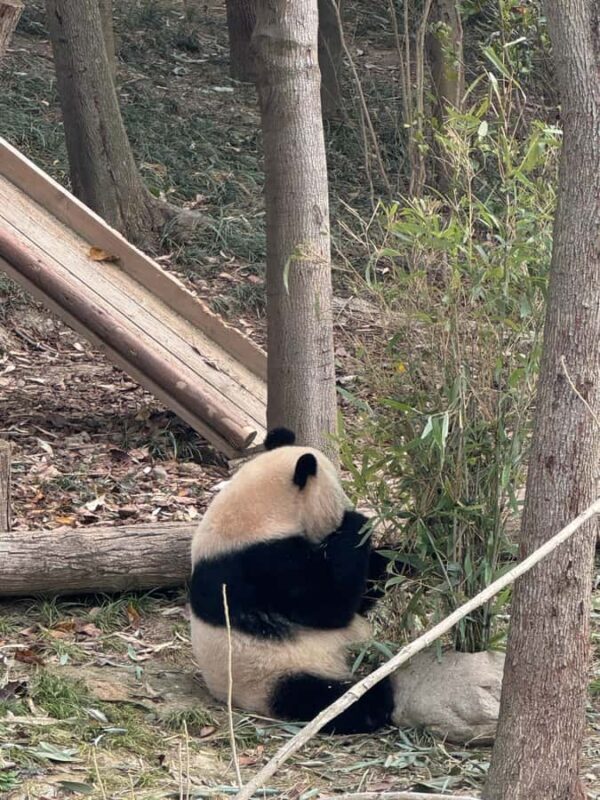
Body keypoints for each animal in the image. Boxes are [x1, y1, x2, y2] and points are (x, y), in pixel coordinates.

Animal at [189, 426, 395, 734]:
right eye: (340, 494)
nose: (349, 506)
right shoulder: (263, 564)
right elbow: (329, 605)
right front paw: (357, 523)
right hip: (277, 673)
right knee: (326, 699)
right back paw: (376, 701)